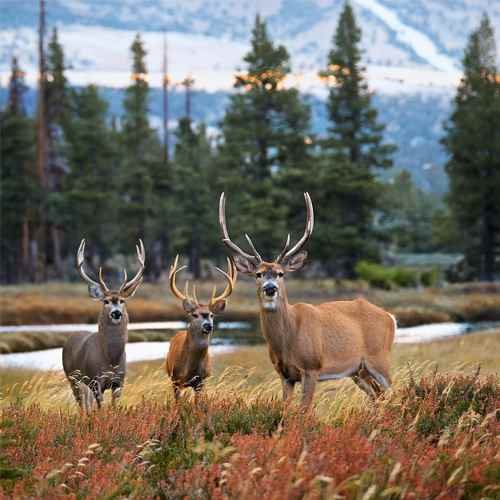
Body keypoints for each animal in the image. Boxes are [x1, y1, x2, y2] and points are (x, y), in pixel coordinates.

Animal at [61, 241, 146, 410]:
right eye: (106, 301)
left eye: (122, 301)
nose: (116, 313)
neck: (111, 359)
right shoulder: (95, 380)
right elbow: (100, 407)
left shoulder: (119, 381)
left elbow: (114, 406)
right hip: (72, 377)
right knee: (81, 404)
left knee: (87, 404)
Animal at [167, 256, 237, 400]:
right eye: (194, 315)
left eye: (212, 315)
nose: (208, 325)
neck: (189, 369)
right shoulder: (176, 379)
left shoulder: (201, 380)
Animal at [218, 192, 394, 410]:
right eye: (258, 274)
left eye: (280, 273)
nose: (270, 288)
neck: (287, 340)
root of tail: (390, 316)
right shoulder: (285, 375)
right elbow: (285, 409)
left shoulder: (312, 367)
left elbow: (304, 410)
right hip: (358, 371)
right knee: (378, 397)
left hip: (379, 357)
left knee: (394, 392)